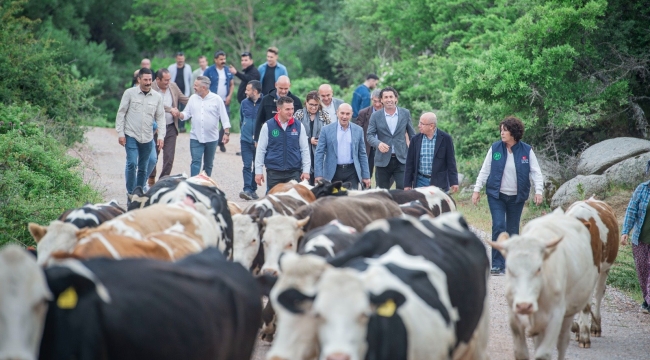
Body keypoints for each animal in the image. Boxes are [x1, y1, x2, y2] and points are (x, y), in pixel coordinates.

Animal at [492, 208, 596, 360]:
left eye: (539, 268)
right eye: (509, 269)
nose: (524, 305)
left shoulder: (556, 317)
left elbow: (543, 354)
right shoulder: (514, 317)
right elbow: (520, 353)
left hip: (569, 313)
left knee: (563, 341)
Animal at [560, 198, 616, 342]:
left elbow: (585, 305)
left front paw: (584, 335)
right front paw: (575, 327)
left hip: (604, 269)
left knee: (599, 293)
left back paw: (595, 327)